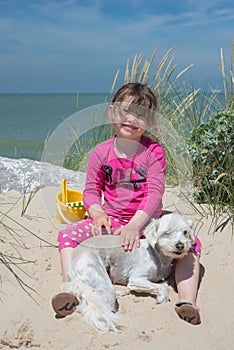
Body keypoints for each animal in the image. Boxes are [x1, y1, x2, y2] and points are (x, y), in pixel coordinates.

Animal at [61, 213, 194, 330]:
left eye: (185, 232)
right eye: (166, 233)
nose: (180, 245)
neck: (157, 255)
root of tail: (72, 259)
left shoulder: (163, 277)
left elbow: (163, 284)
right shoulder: (136, 279)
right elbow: (162, 287)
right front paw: (162, 298)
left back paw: (120, 292)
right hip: (102, 283)